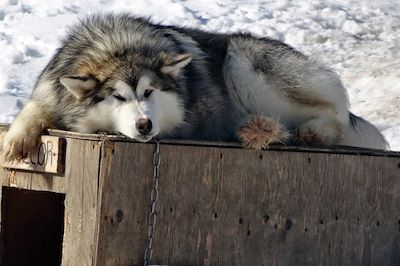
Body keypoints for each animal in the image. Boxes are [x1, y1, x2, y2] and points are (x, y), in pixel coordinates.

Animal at [0, 13, 388, 161]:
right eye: (118, 97)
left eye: (149, 92)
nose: (145, 125)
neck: (117, 45)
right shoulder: (50, 88)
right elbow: (34, 108)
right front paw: (15, 140)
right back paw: (258, 129)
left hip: (240, 61)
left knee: (333, 115)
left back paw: (304, 131)